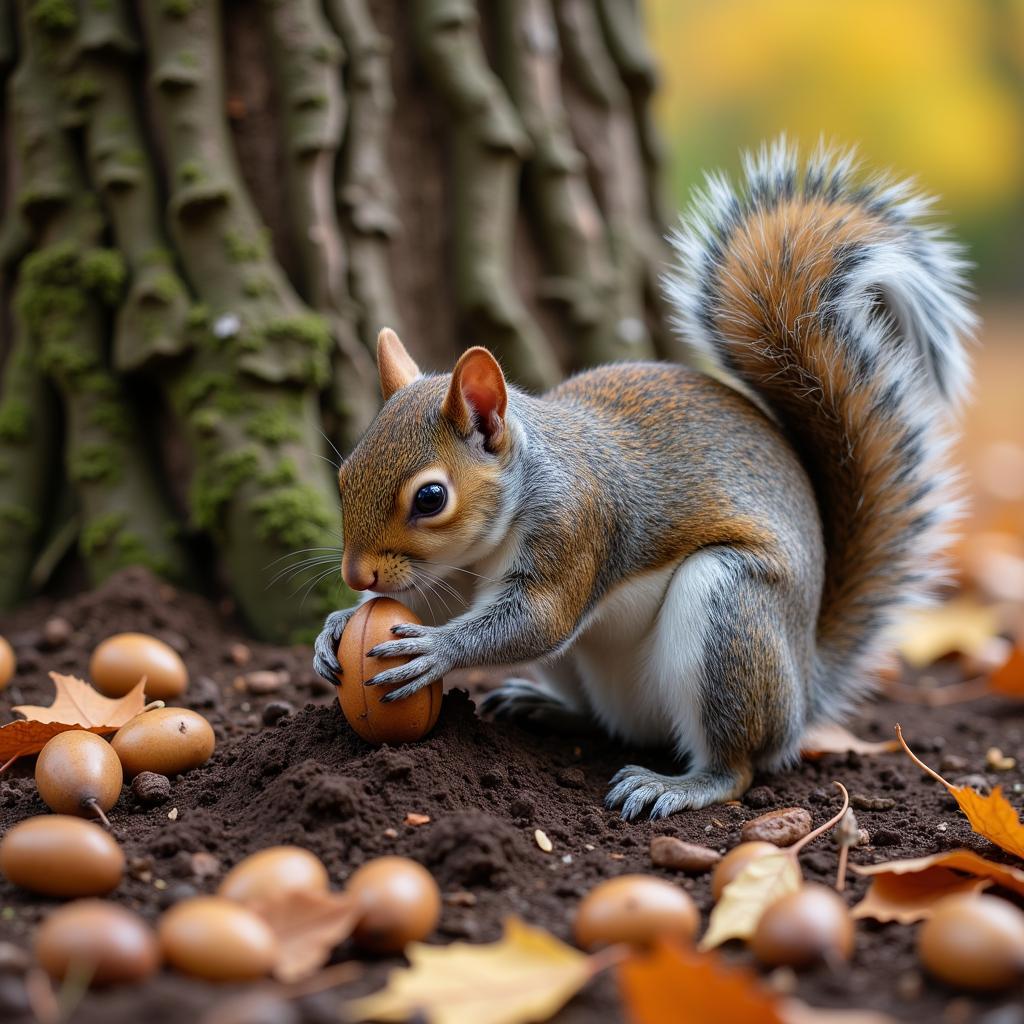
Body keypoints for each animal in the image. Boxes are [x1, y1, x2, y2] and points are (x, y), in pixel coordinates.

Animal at [313, 140, 974, 819]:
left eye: (431, 497)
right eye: (346, 473)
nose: (355, 574)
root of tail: (805, 689)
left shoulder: (577, 526)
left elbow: (539, 620)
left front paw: (436, 650)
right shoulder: (447, 575)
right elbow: (424, 602)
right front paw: (336, 626)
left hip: (729, 611)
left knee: (738, 764)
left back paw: (678, 784)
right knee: (604, 720)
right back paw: (547, 707)